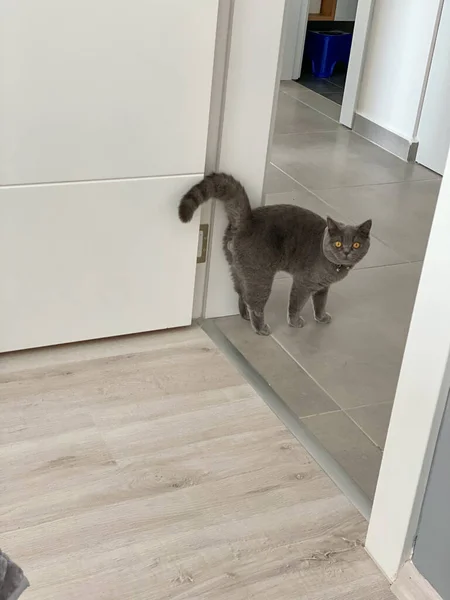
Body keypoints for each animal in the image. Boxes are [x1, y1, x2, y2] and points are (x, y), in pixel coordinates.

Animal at [179, 173, 372, 336]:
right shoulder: (303, 282)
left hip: (238, 268)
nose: (346, 251)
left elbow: (320, 302)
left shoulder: (323, 287)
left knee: (242, 293)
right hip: (261, 276)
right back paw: (260, 328)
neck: (334, 268)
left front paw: (321, 317)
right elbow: (296, 304)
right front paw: (295, 322)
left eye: (356, 244)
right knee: (255, 303)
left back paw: (245, 315)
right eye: (338, 243)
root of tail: (247, 220)